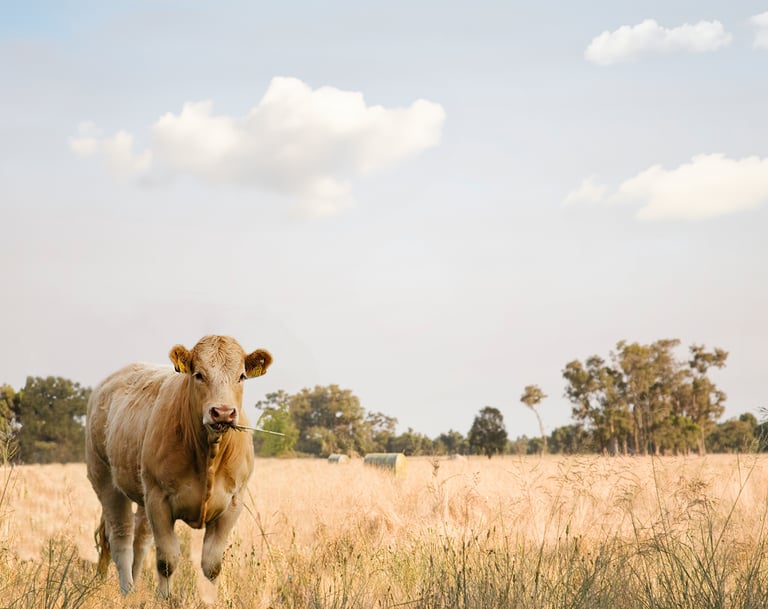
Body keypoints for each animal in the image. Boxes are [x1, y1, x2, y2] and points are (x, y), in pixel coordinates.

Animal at [85, 335, 272, 597]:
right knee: (121, 537)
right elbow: (167, 560)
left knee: (140, 539)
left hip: (142, 491)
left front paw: (211, 599)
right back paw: (127, 591)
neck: (209, 454)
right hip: (105, 480)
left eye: (242, 376)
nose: (223, 412)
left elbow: (212, 564)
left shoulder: (233, 502)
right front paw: (164, 598)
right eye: (199, 374)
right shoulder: (158, 499)